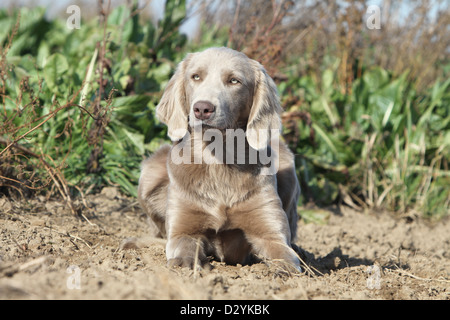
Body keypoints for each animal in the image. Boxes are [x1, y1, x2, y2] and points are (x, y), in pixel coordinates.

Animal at [135, 47, 300, 272]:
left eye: (234, 81)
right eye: (196, 76)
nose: (202, 108)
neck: (218, 158)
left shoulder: (270, 230)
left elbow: (285, 255)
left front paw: (284, 270)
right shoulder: (183, 228)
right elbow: (183, 245)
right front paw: (186, 264)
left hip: (287, 162)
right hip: (150, 173)